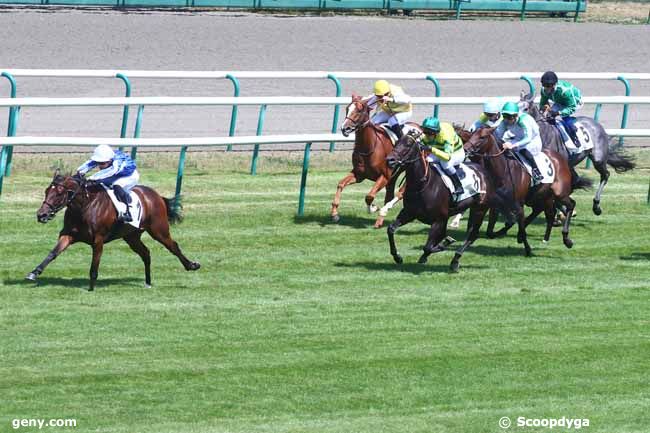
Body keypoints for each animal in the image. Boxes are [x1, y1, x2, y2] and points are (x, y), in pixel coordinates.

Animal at [27, 170, 199, 290]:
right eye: (46, 191)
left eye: (59, 193)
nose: (41, 215)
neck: (85, 207)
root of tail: (156, 196)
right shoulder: (68, 235)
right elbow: (53, 253)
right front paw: (34, 272)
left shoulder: (98, 240)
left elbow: (94, 264)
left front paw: (91, 288)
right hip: (132, 237)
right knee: (145, 253)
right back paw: (148, 282)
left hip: (159, 230)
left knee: (173, 246)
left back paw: (191, 265)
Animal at [330, 94, 410, 228]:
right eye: (347, 109)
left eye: (359, 110)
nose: (345, 128)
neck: (369, 146)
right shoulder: (359, 174)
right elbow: (340, 184)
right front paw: (334, 213)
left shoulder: (384, 176)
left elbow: (369, 196)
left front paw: (373, 208)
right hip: (394, 175)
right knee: (390, 194)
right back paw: (380, 219)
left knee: (400, 192)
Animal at [384, 130, 502, 272]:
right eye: (396, 142)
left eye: (408, 144)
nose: (390, 160)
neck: (422, 184)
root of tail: (484, 172)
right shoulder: (409, 213)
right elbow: (390, 229)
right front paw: (397, 257)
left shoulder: (438, 220)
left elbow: (428, 246)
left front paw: (445, 243)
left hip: (479, 210)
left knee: (472, 235)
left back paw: (455, 260)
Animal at [460, 126, 588, 251]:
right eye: (472, 135)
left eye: (482, 137)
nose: (465, 149)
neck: (502, 171)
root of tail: (562, 159)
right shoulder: (495, 202)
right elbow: (495, 227)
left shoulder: (517, 202)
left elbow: (512, 221)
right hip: (540, 196)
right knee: (543, 211)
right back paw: (539, 237)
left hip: (559, 193)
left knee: (570, 205)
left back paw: (566, 239)